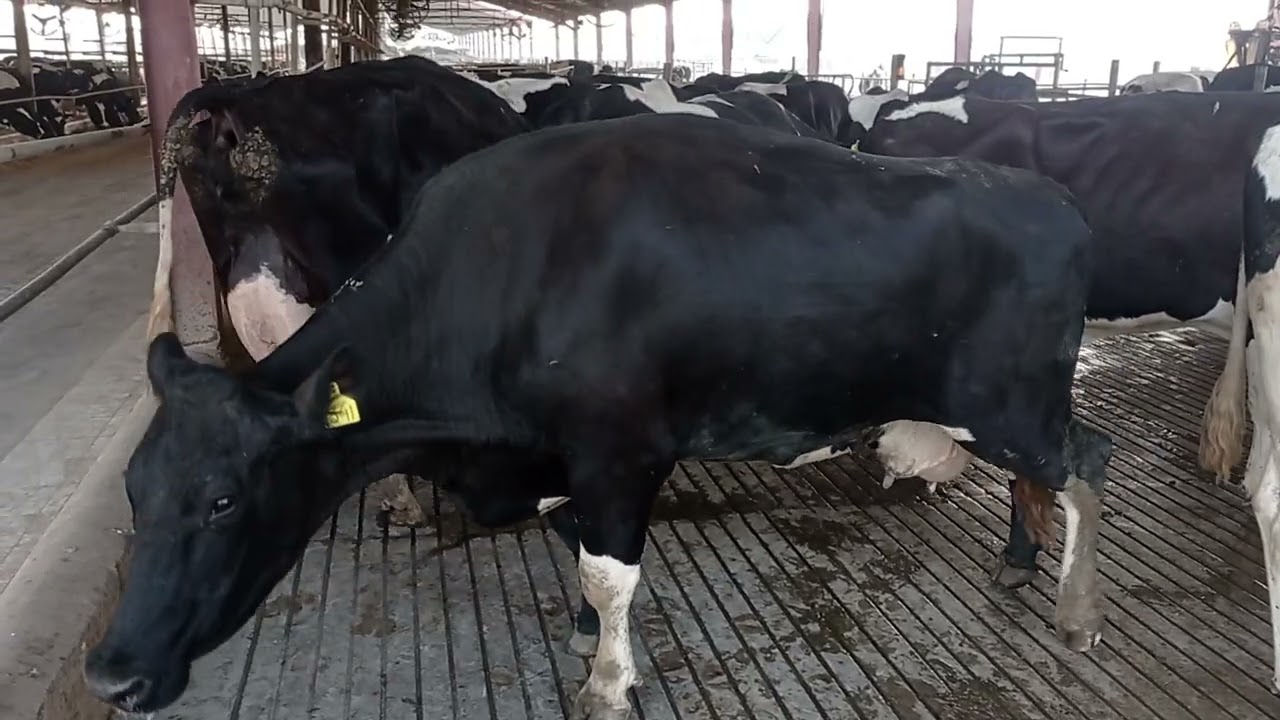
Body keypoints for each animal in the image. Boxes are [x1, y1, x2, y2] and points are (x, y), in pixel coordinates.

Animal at [86, 111, 1111, 718]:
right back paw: (1021, 566)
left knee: (1088, 461)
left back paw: (1076, 611)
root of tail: (1053, 195)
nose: (111, 673)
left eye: (223, 499)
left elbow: (609, 571)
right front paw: (585, 638)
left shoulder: (621, 449)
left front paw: (607, 680)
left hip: (1012, 403)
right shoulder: (559, 457)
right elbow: (579, 551)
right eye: (136, 491)